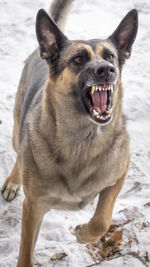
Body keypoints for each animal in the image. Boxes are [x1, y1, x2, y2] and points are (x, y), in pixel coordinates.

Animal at [1, 0, 138, 266]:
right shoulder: (32, 208)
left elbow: (102, 221)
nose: (106, 70)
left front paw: (83, 233)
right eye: (78, 58)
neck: (82, 142)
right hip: (17, 131)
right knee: (19, 149)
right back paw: (13, 180)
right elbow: (25, 254)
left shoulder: (118, 175)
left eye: (110, 56)